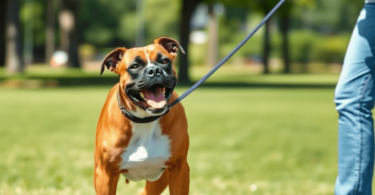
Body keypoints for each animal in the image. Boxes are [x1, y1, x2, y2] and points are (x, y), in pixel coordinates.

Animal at [93, 37, 188, 195]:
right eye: (135, 66)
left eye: (164, 61)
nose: (154, 70)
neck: (145, 120)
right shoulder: (105, 175)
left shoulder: (179, 171)